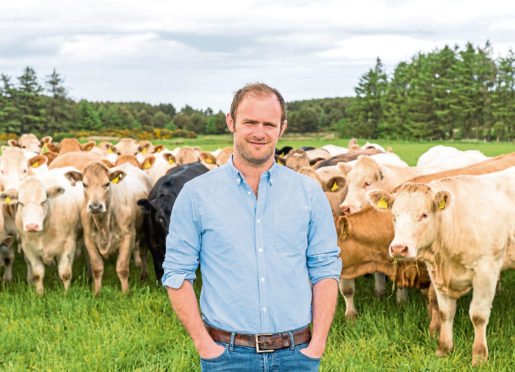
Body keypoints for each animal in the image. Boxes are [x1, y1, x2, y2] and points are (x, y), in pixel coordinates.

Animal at [64, 161, 151, 294]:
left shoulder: (128, 236)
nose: (95, 207)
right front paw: (97, 293)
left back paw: (144, 276)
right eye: (84, 184)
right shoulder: (89, 240)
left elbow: (122, 268)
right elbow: (97, 268)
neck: (103, 225)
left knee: (143, 252)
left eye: (107, 184)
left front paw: (125, 293)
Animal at [368, 167, 515, 364]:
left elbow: (478, 315)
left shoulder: (487, 271)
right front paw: (444, 349)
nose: (399, 248)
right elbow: (445, 311)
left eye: (424, 214)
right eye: (394, 216)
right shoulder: (435, 273)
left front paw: (479, 357)